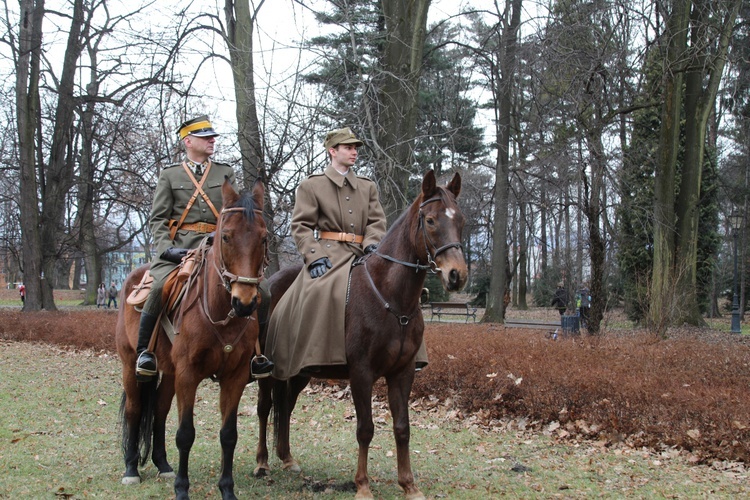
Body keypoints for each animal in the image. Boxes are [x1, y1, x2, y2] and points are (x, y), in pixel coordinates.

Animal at [116, 180, 268, 500]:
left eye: (263, 238)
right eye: (226, 236)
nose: (245, 303)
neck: (221, 310)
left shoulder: (234, 377)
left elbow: (228, 435)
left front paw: (227, 489)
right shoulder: (188, 374)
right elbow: (185, 434)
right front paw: (182, 489)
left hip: (170, 373)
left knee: (159, 411)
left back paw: (162, 465)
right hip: (130, 366)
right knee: (135, 410)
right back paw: (131, 469)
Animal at [258, 172, 470, 500]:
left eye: (460, 220)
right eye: (431, 220)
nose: (456, 276)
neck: (389, 296)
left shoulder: (403, 373)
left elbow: (402, 427)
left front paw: (409, 485)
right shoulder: (361, 372)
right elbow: (365, 428)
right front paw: (362, 485)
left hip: (300, 370)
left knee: (287, 404)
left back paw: (287, 458)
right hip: (268, 370)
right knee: (264, 408)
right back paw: (262, 463)